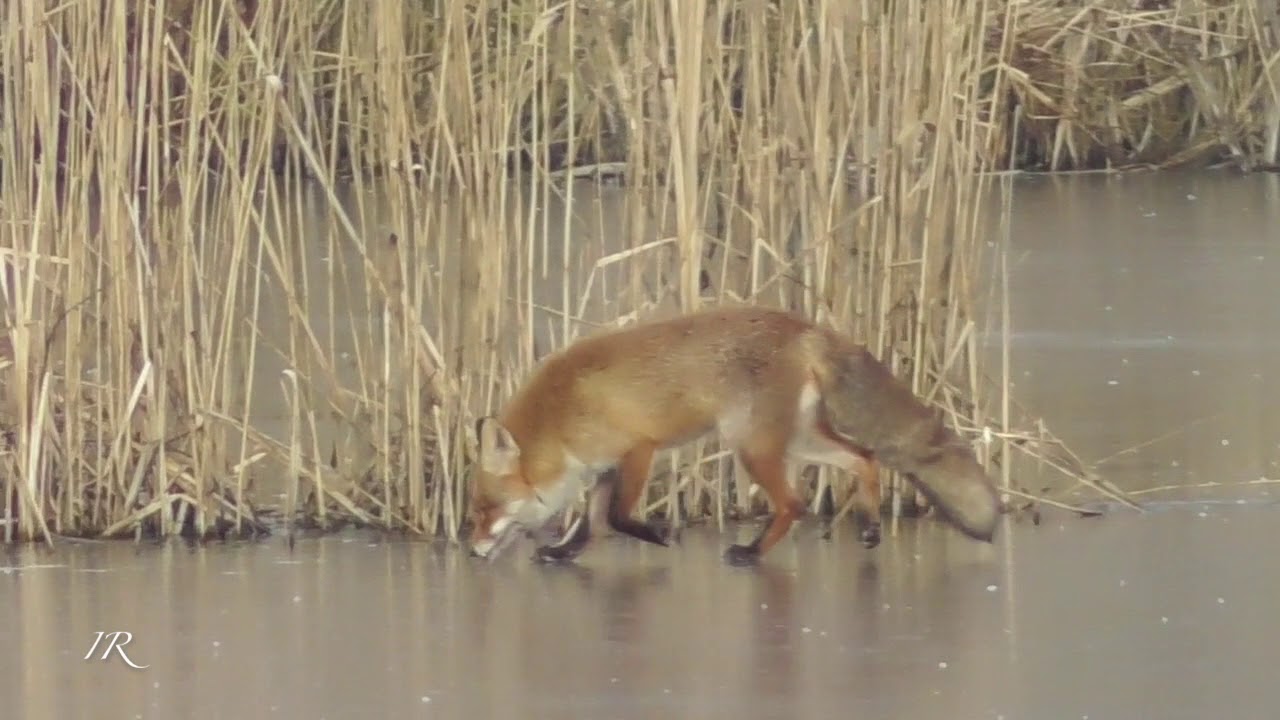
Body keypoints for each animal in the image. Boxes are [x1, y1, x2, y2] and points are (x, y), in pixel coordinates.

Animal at [467, 304, 1001, 566]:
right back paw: (869, 526)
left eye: (485, 509)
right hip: (797, 440)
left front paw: (657, 535)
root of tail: (803, 327)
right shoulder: (604, 467)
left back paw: (750, 553)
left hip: (752, 447)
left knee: (795, 504)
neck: (561, 415)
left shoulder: (639, 448)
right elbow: (593, 524)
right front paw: (562, 553)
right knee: (864, 457)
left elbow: (616, 517)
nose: (470, 552)